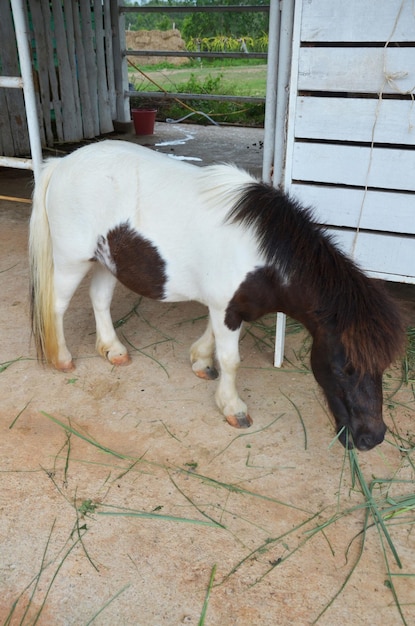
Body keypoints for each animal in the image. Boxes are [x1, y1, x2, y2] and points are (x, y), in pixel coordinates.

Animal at [29, 140, 406, 448]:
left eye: (383, 367)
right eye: (345, 370)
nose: (372, 438)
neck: (264, 255)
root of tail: (61, 164)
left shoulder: (226, 307)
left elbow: (211, 338)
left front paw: (200, 361)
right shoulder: (227, 308)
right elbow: (231, 360)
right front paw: (232, 407)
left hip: (108, 263)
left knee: (99, 300)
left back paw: (113, 350)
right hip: (71, 261)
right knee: (57, 306)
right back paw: (62, 359)